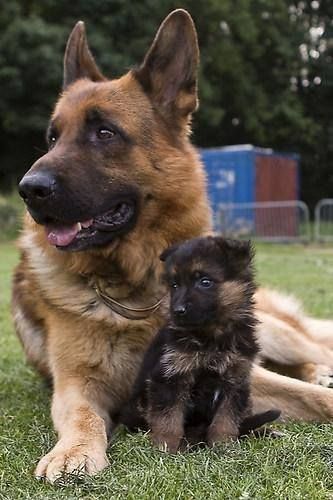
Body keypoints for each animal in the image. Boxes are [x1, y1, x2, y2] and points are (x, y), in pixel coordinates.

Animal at [11, 7, 332, 484]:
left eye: (104, 133)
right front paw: (74, 451)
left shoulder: (240, 373)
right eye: (53, 137)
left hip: (276, 334)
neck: (136, 288)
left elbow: (312, 398)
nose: (28, 189)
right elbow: (82, 416)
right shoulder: (77, 384)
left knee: (314, 352)